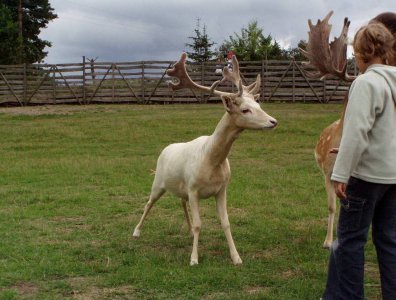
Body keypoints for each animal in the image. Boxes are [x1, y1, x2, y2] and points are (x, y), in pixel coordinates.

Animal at [131, 53, 276, 264]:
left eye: (258, 105)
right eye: (245, 110)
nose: (273, 121)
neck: (212, 160)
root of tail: (165, 149)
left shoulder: (222, 189)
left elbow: (225, 222)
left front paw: (236, 257)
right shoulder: (193, 189)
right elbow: (200, 223)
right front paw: (193, 259)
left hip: (181, 188)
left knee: (181, 202)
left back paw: (189, 231)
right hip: (158, 183)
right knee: (149, 202)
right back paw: (136, 231)